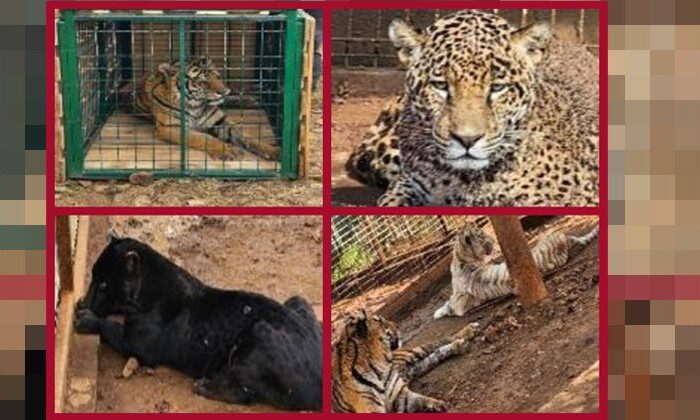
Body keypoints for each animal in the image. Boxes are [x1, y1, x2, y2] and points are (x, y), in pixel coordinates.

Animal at [135, 57, 280, 161]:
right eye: (202, 82)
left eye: (217, 76)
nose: (224, 92)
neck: (196, 106)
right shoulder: (172, 127)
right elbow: (203, 138)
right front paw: (227, 150)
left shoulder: (220, 121)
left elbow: (246, 136)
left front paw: (274, 151)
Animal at [332, 310, 479, 413]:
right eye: (382, 322)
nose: (398, 326)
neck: (378, 368)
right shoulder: (371, 407)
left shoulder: (400, 395)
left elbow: (422, 399)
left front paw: (439, 404)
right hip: (417, 365)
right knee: (435, 354)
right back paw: (460, 345)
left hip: (413, 352)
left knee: (441, 341)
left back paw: (469, 331)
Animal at [434, 221, 599, 319]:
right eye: (482, 237)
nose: (493, 241)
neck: (460, 255)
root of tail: (563, 239)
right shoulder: (458, 300)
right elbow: (448, 304)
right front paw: (438, 313)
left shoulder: (458, 300)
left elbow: (448, 304)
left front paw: (437, 313)